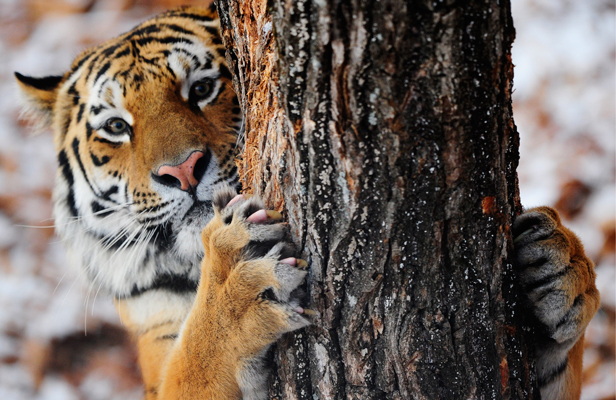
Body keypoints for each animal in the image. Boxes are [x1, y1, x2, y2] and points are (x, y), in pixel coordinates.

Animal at [15, 3, 596, 400]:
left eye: (201, 87)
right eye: (116, 127)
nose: (182, 171)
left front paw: (559, 266)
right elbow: (194, 359)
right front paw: (235, 288)